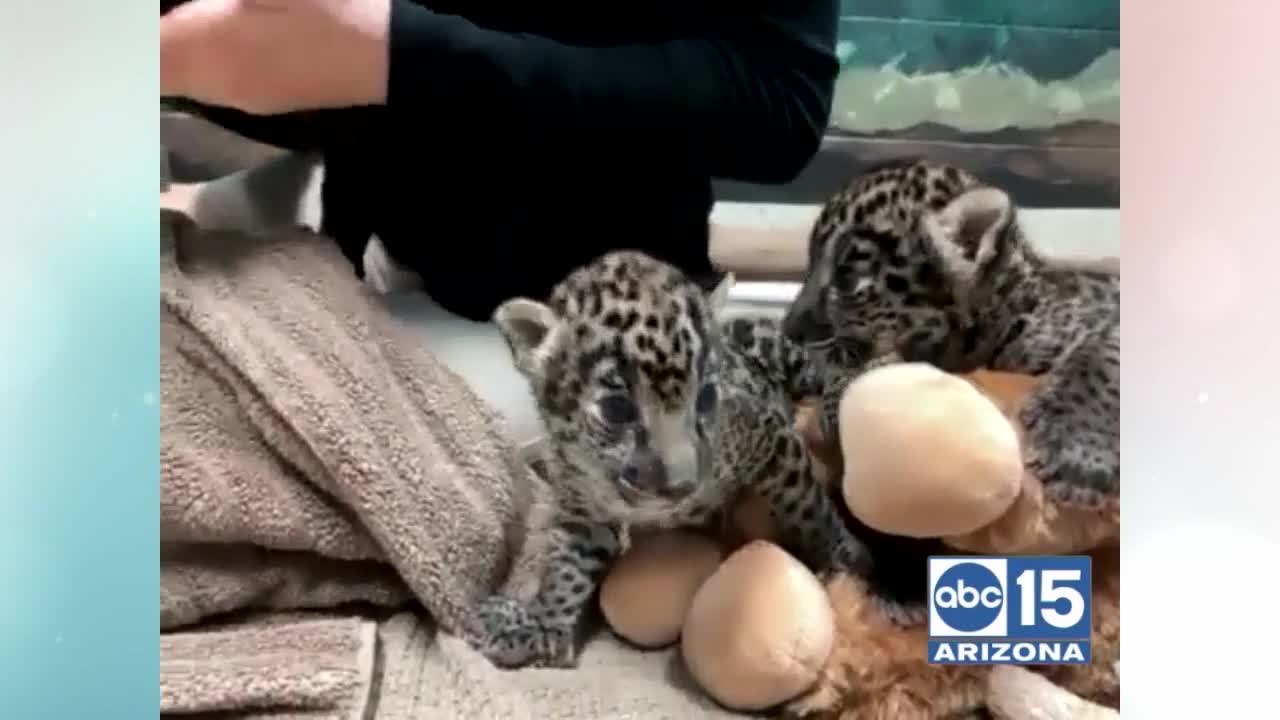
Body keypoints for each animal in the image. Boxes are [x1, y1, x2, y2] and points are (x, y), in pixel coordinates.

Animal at [467, 250, 878, 670]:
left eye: (707, 396)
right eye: (617, 409)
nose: (683, 486)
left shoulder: (770, 435)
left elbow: (808, 507)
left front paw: (844, 557)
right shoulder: (583, 506)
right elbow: (568, 567)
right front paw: (545, 622)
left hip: (774, 346)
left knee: (823, 367)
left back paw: (839, 397)